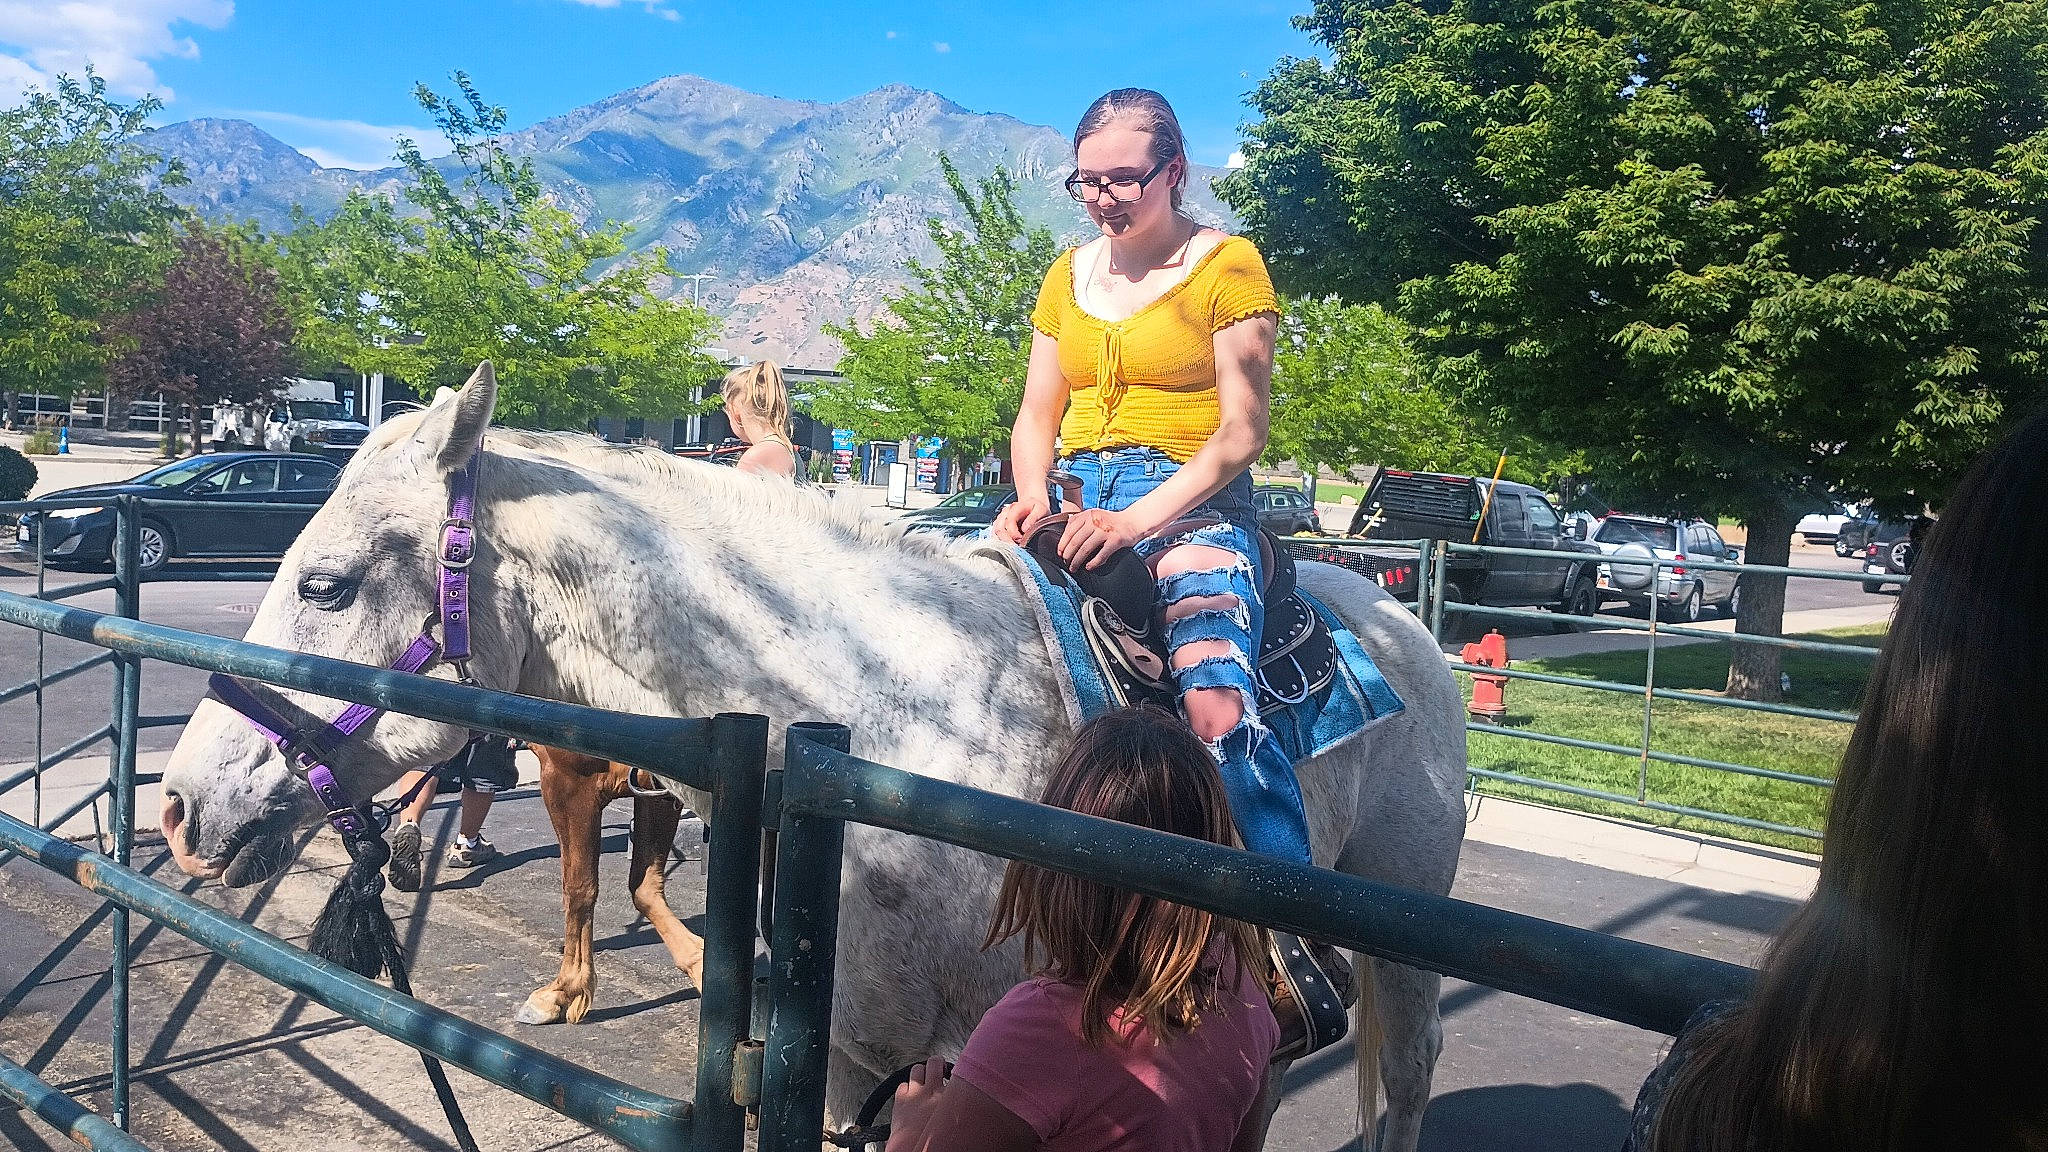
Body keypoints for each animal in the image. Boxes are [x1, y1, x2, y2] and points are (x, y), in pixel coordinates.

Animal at [157, 365, 1468, 1152]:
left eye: (327, 584)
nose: (177, 806)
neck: (882, 718)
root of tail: (1400, 623)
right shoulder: (849, 1062)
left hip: (1402, 933)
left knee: (1407, 1071)